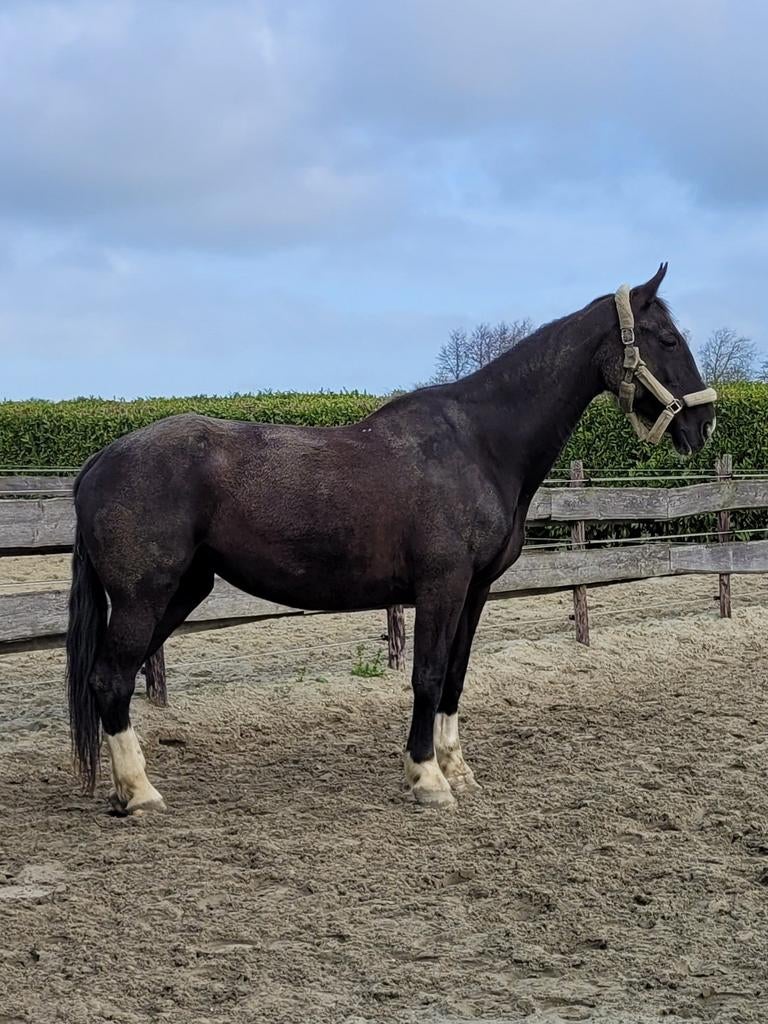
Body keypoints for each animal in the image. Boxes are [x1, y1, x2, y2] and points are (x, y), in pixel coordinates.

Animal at [66, 263, 716, 814]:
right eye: (666, 339)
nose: (702, 423)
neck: (480, 443)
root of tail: (100, 462)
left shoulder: (474, 590)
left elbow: (455, 673)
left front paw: (456, 770)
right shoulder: (440, 586)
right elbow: (426, 674)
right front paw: (427, 778)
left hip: (183, 591)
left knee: (109, 680)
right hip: (142, 598)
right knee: (110, 678)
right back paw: (140, 793)